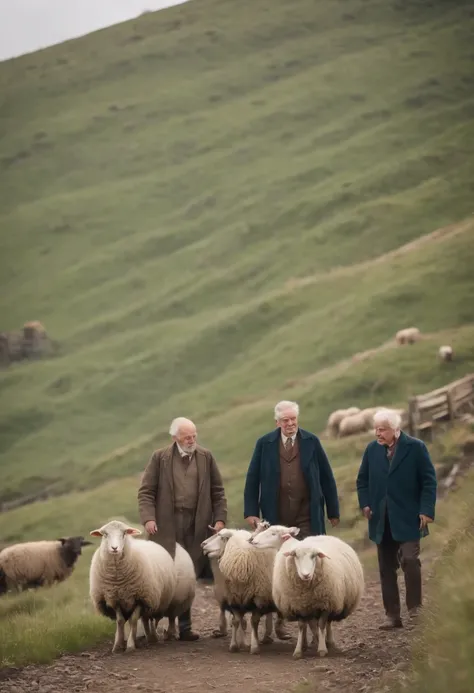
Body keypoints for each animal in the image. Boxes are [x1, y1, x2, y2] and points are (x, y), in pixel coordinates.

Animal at [89, 516, 176, 652]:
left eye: (124, 533)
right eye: (105, 534)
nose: (114, 548)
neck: (118, 580)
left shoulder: (140, 598)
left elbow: (133, 620)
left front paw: (130, 645)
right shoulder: (115, 598)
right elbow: (120, 621)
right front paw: (118, 645)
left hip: (153, 600)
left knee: (150, 620)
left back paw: (152, 637)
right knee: (144, 619)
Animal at [252, 528, 362, 660]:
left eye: (273, 533)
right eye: (296, 555)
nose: (252, 540)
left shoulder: (325, 604)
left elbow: (321, 625)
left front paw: (322, 648)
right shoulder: (299, 605)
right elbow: (302, 626)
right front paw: (300, 649)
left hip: (333, 601)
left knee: (328, 623)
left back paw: (329, 642)